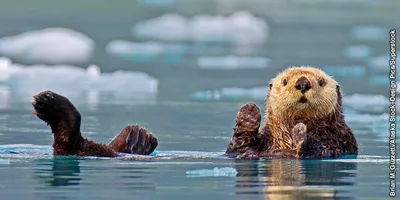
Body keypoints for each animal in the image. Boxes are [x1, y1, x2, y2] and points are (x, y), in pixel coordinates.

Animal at [225, 66, 360, 159]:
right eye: (285, 81)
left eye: (321, 82)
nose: (303, 83)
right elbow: (238, 148)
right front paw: (249, 113)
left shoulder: (339, 138)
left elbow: (323, 149)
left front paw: (300, 133)